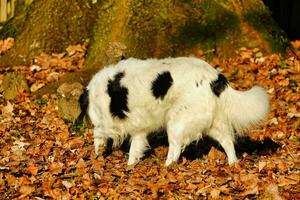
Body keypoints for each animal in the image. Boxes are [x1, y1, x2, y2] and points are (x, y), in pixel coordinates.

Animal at [77, 57, 270, 166]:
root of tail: (215, 77)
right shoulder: (139, 127)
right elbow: (134, 147)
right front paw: (131, 165)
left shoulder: (109, 122)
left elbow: (98, 135)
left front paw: (99, 155)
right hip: (209, 122)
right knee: (228, 141)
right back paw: (232, 163)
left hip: (177, 123)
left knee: (176, 149)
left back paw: (167, 167)